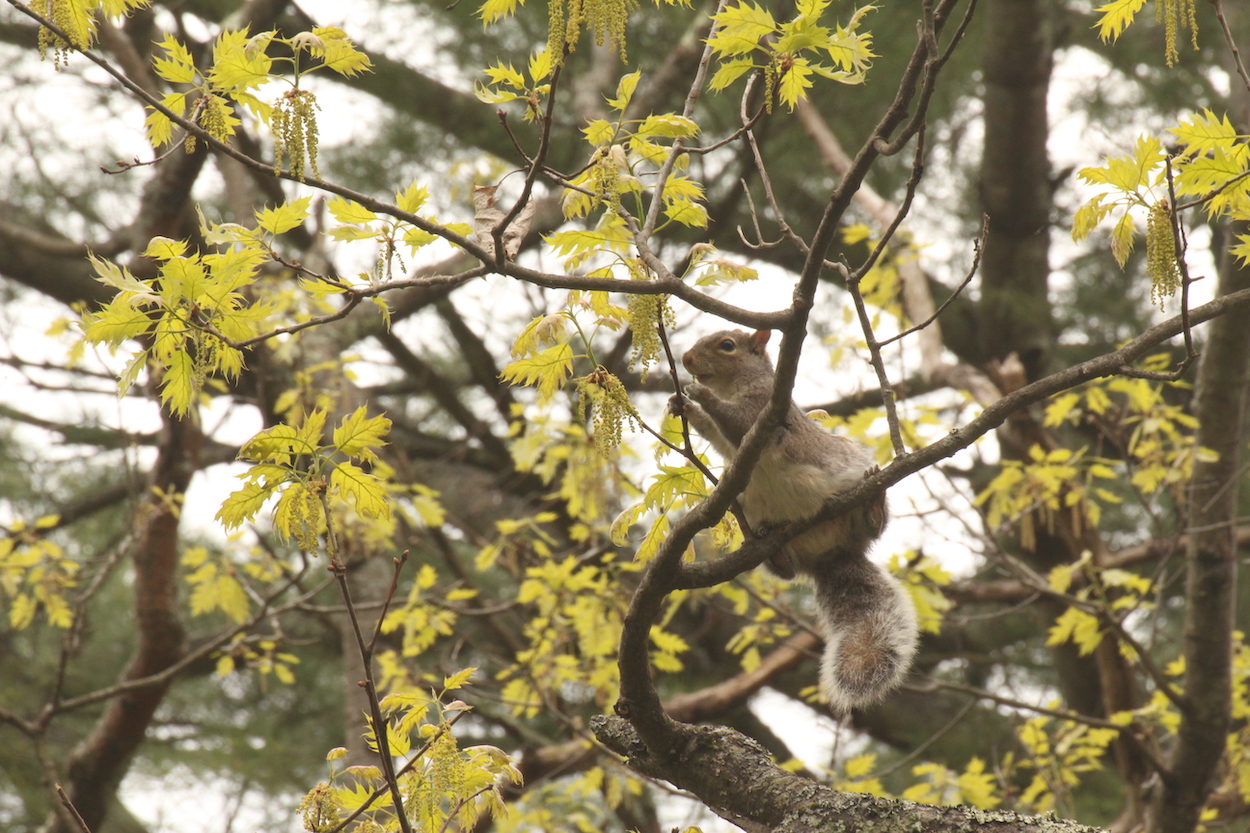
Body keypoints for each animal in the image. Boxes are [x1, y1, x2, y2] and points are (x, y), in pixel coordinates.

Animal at [675, 327, 920, 710]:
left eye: (727, 345)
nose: (686, 360)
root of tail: (831, 554)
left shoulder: (766, 413)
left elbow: (737, 423)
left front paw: (700, 396)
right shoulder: (734, 448)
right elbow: (718, 437)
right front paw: (683, 406)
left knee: (873, 528)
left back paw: (874, 506)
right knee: (786, 571)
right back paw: (774, 549)